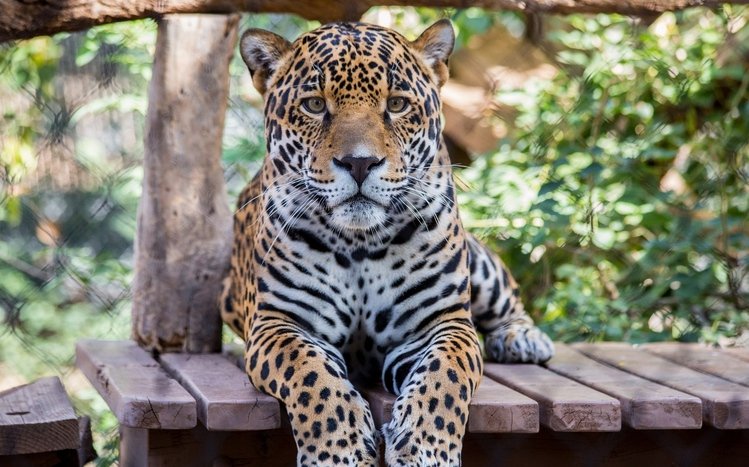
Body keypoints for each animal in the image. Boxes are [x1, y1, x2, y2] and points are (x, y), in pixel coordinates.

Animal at [220, 19, 554, 466]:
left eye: (396, 104)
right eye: (314, 105)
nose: (359, 163)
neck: (360, 243)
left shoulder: (442, 323)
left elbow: (445, 377)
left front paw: (427, 450)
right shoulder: (279, 323)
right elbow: (311, 375)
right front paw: (338, 452)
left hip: (477, 261)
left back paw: (523, 338)